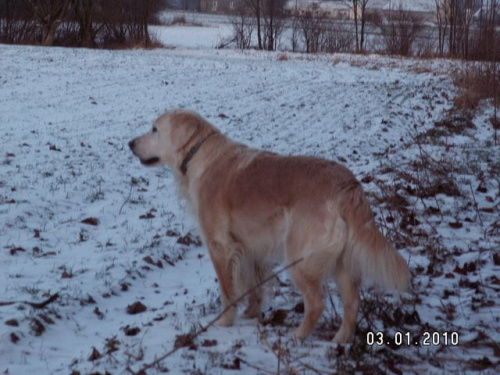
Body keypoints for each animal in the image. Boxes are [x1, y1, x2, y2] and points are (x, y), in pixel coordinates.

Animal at [128, 109, 410, 344]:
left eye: (154, 129)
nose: (130, 144)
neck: (200, 156)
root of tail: (348, 185)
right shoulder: (249, 247)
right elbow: (253, 285)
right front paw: (251, 313)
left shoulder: (219, 246)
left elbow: (227, 291)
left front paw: (224, 322)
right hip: (343, 264)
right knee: (352, 303)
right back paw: (340, 339)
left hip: (299, 258)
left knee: (316, 303)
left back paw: (297, 336)